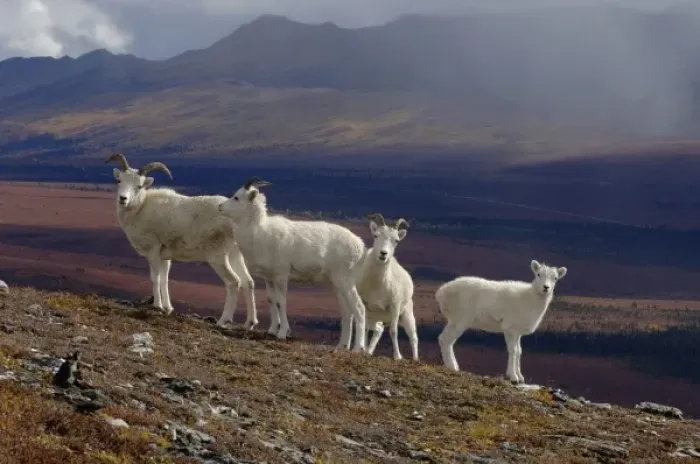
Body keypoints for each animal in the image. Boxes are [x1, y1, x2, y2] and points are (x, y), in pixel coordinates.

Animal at [105, 153, 258, 329]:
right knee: (248, 282)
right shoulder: (165, 257)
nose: (123, 199)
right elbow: (164, 279)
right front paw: (167, 308)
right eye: (119, 181)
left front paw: (157, 306)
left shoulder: (153, 251)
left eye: (139, 186)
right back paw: (250, 323)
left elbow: (155, 278)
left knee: (233, 282)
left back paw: (223, 321)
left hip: (218, 258)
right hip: (235, 255)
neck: (140, 208)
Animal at [217, 177, 368, 352]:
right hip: (336, 284)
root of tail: (360, 246)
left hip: (345, 281)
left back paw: (358, 349)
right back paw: (342, 346)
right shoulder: (269, 278)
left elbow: (281, 302)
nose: (220, 207)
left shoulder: (281, 276)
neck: (259, 232)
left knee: (359, 308)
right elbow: (271, 300)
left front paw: (282, 333)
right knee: (347, 312)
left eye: (236, 197)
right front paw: (272, 331)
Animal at [353, 213, 418, 361]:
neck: (377, 286)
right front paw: (363, 350)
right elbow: (365, 328)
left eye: (396, 240)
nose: (383, 254)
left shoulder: (394, 306)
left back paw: (415, 359)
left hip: (407, 315)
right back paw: (369, 350)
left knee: (413, 337)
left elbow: (393, 331)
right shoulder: (366, 306)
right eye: (376, 235)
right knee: (378, 330)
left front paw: (397, 357)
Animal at [435, 260, 567, 383]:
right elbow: (513, 351)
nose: (546, 287)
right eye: (538, 274)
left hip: (453, 321)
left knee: (444, 339)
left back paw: (454, 366)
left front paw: (520, 377)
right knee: (447, 340)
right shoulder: (510, 329)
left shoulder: (518, 332)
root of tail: (441, 292)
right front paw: (513, 377)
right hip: (459, 320)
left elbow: (519, 351)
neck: (529, 299)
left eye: (555, 278)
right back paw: (452, 367)